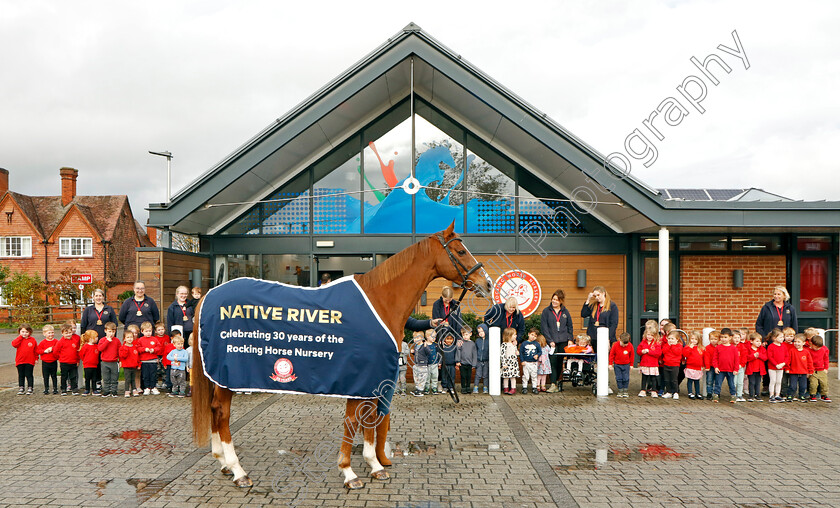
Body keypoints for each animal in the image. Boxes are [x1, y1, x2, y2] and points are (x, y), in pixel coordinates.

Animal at [190, 224, 492, 490]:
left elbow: (367, 419)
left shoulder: (369, 378)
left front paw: (374, 466)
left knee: (214, 410)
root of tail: (209, 296)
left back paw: (223, 463)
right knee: (222, 412)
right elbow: (354, 421)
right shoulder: (359, 376)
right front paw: (350, 472)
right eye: (461, 251)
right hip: (228, 374)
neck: (380, 301)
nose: (486, 283)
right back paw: (238, 471)